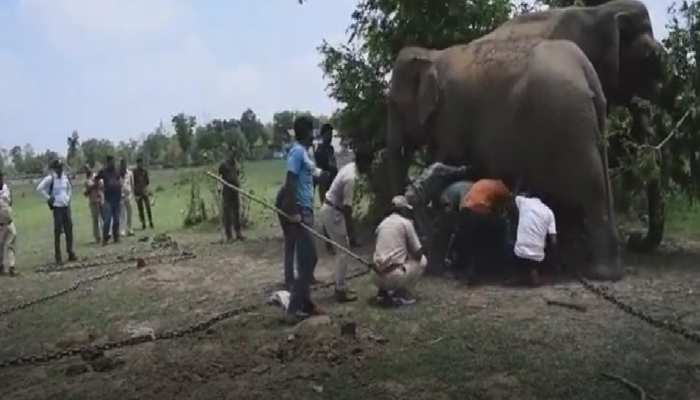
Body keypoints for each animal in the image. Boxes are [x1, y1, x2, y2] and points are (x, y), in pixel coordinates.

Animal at [386, 0, 664, 282]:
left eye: (394, 105)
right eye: (649, 60)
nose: (636, 239)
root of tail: (585, 72)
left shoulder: (452, 113)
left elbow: (450, 161)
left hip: (566, 118)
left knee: (591, 182)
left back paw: (592, 271)